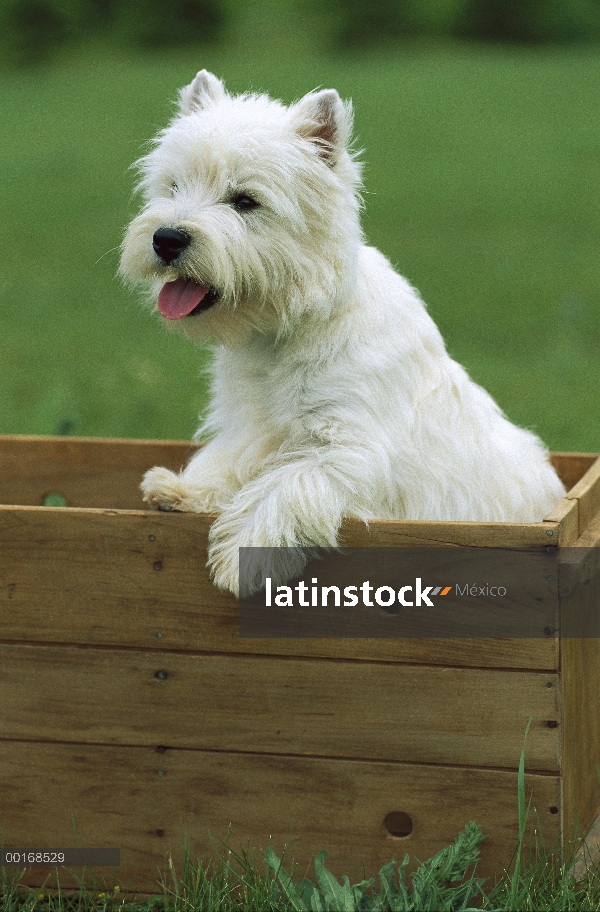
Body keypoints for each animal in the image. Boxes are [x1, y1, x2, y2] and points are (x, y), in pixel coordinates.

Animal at [119, 73, 564, 600]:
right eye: (173, 185)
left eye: (245, 200)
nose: (166, 239)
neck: (285, 331)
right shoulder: (251, 424)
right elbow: (232, 459)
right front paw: (184, 489)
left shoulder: (347, 448)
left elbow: (285, 482)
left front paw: (240, 556)